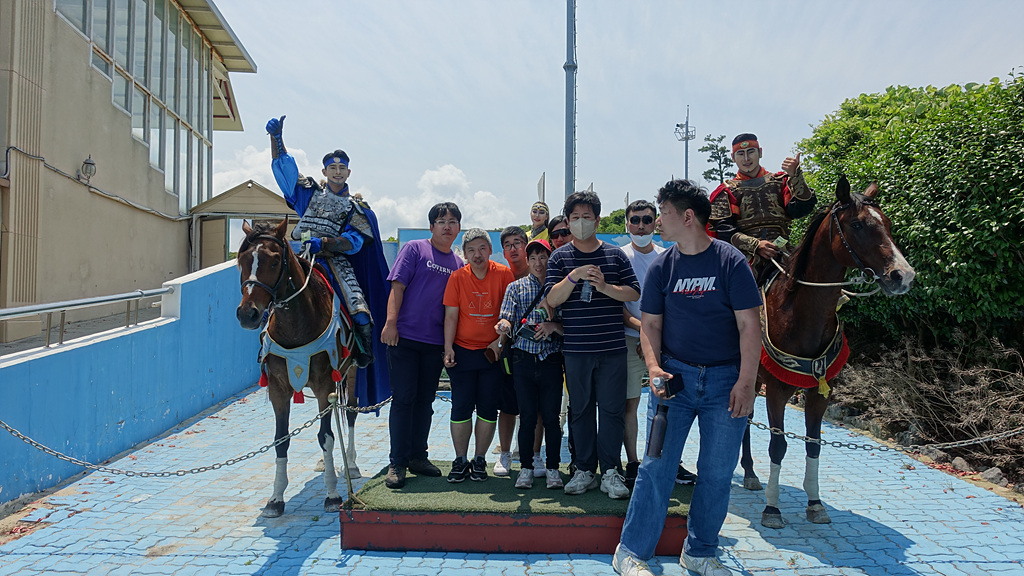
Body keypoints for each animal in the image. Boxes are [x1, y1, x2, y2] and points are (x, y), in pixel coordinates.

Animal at [237, 218, 358, 516]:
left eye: (274, 261)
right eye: (242, 260)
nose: (248, 314)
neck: (296, 325)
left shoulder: (325, 382)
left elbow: (326, 436)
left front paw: (332, 494)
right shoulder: (279, 388)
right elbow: (281, 438)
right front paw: (276, 498)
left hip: (351, 372)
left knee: (350, 413)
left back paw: (350, 464)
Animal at [741, 177, 917, 528]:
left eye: (888, 224)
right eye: (858, 225)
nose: (902, 275)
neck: (798, 312)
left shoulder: (821, 391)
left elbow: (814, 445)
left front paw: (815, 503)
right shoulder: (777, 389)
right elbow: (779, 445)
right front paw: (772, 508)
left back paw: (750, 472)